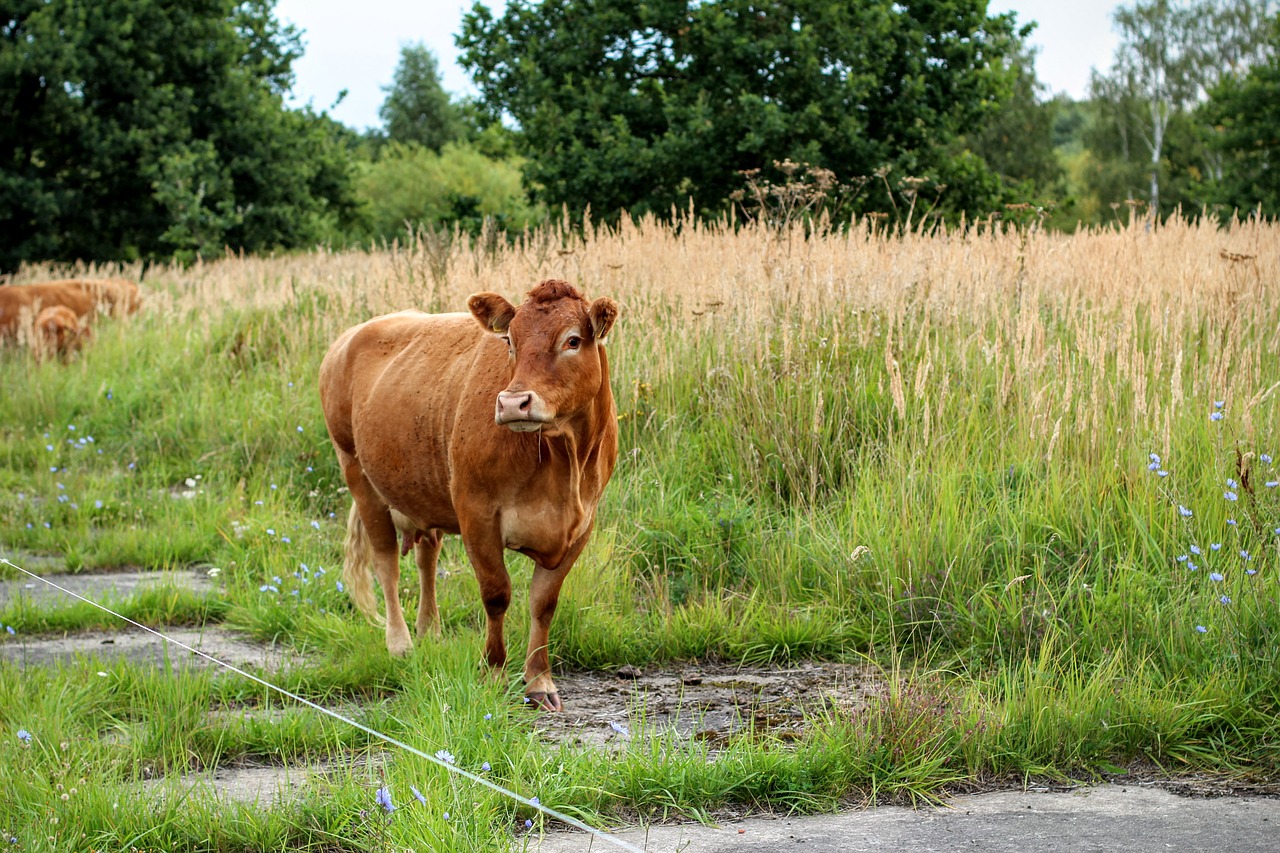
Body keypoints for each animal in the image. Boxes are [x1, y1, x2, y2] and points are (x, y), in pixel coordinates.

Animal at [320, 279, 619, 712]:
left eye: (573, 340)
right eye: (510, 340)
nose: (513, 403)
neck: (562, 461)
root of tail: (350, 336)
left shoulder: (581, 524)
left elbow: (543, 603)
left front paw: (539, 682)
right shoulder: (477, 513)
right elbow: (496, 594)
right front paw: (493, 673)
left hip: (424, 489)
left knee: (427, 556)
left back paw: (430, 630)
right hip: (358, 474)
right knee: (386, 563)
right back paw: (401, 643)